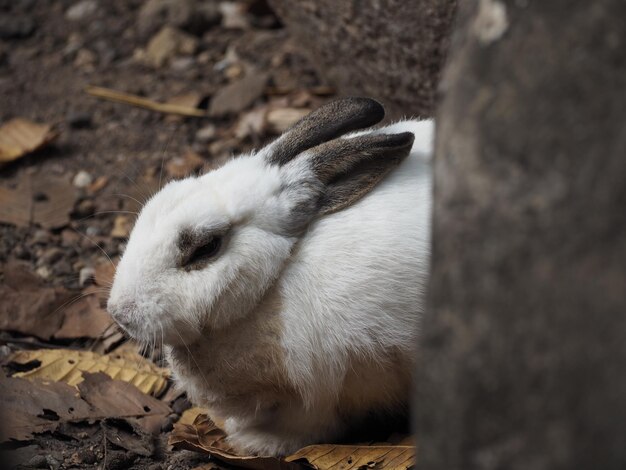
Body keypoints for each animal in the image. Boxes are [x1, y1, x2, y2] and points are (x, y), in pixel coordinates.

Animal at [108, 98, 428, 456]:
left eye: (205, 248)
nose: (119, 313)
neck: (273, 284)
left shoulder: (326, 387)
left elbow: (311, 425)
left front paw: (256, 442)